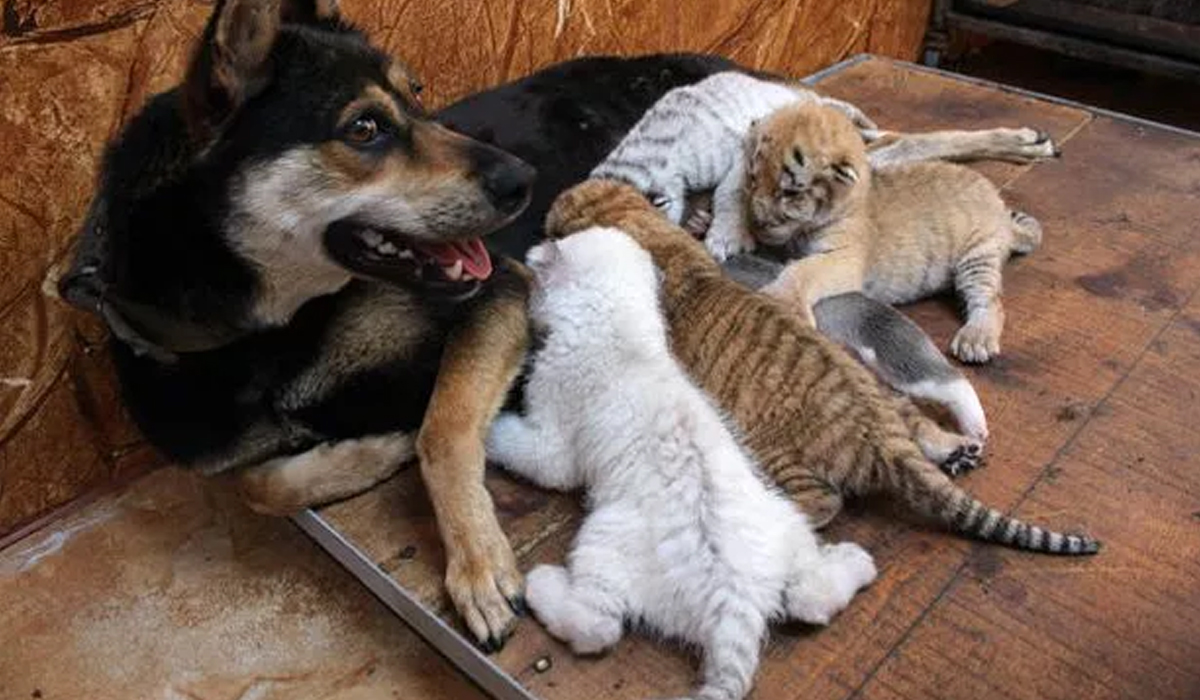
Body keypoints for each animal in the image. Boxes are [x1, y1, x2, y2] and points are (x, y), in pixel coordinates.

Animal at [63, 0, 1060, 653]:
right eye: (365, 128)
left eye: (419, 99)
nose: (519, 186)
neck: (272, 335)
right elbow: (257, 486)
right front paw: (361, 458)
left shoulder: (496, 298)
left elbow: (441, 429)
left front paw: (474, 562)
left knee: (891, 144)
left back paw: (1013, 146)